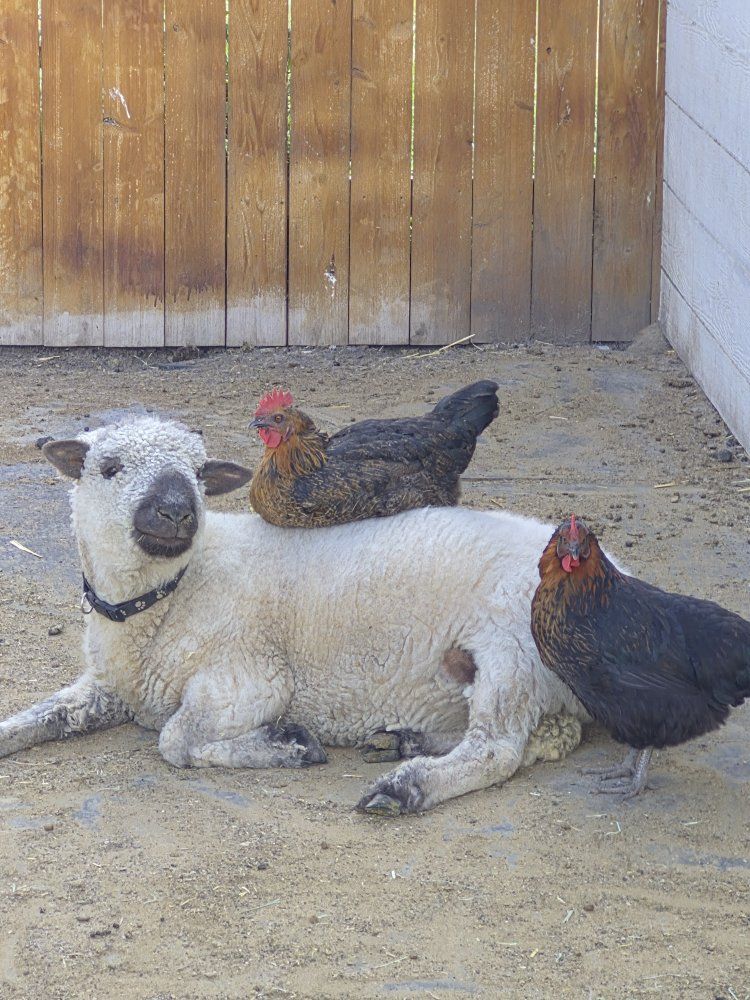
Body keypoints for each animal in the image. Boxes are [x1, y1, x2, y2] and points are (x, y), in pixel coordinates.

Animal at [0, 416, 587, 815]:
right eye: (109, 468)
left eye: (199, 474)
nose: (176, 512)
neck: (169, 599)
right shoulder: (107, 685)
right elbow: (49, 714)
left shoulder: (250, 679)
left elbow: (176, 740)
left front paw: (289, 745)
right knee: (532, 736)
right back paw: (403, 741)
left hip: (510, 650)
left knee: (497, 749)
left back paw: (406, 786)